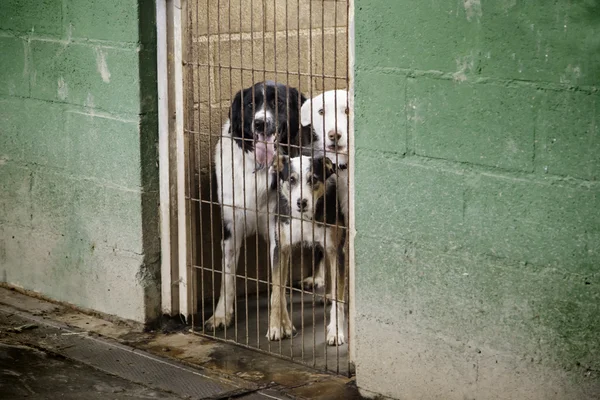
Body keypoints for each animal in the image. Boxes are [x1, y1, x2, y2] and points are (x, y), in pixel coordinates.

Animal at [205, 79, 314, 330]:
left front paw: (280, 324)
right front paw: (221, 314)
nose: (260, 123)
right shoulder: (230, 227)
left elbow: (278, 282)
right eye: (249, 105)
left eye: (279, 103)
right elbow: (227, 277)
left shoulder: (279, 229)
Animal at [268, 155, 346, 346]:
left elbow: (339, 299)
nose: (301, 202)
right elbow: (277, 291)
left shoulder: (337, 250)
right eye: (291, 180)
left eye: (314, 179)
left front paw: (336, 332)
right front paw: (277, 327)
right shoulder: (280, 248)